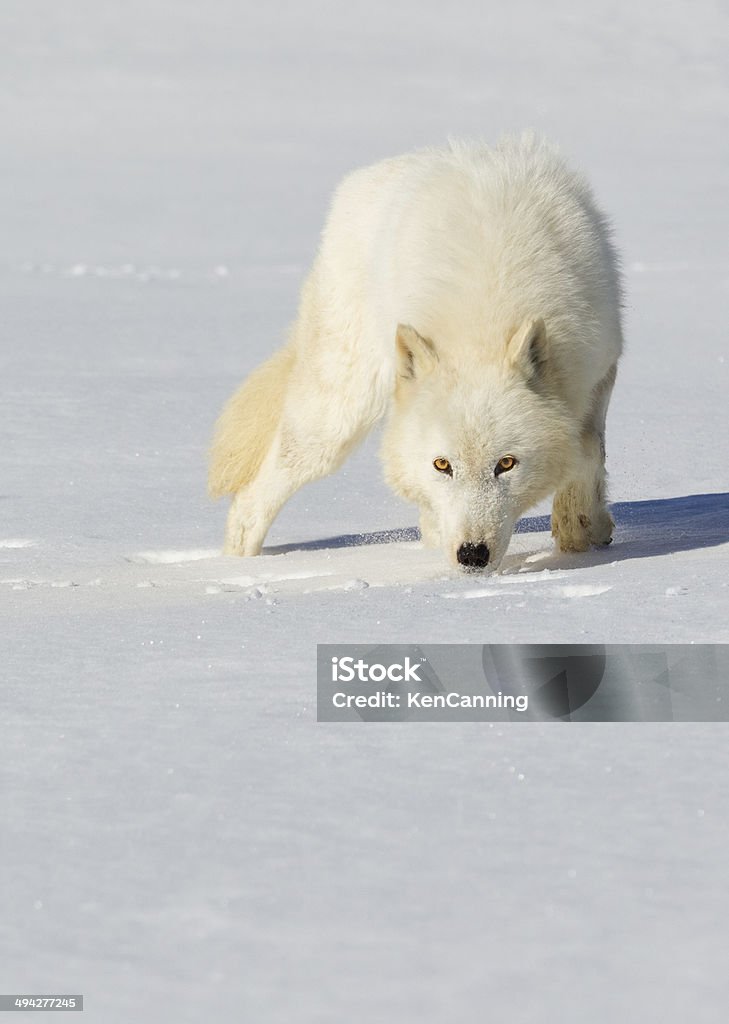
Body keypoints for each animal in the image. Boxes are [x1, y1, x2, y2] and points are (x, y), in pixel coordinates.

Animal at [207, 136, 622, 573]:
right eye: (443, 465)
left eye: (506, 463)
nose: (471, 555)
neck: (481, 320)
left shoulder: (599, 371)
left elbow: (587, 450)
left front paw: (581, 530)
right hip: (336, 417)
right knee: (254, 498)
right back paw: (237, 567)